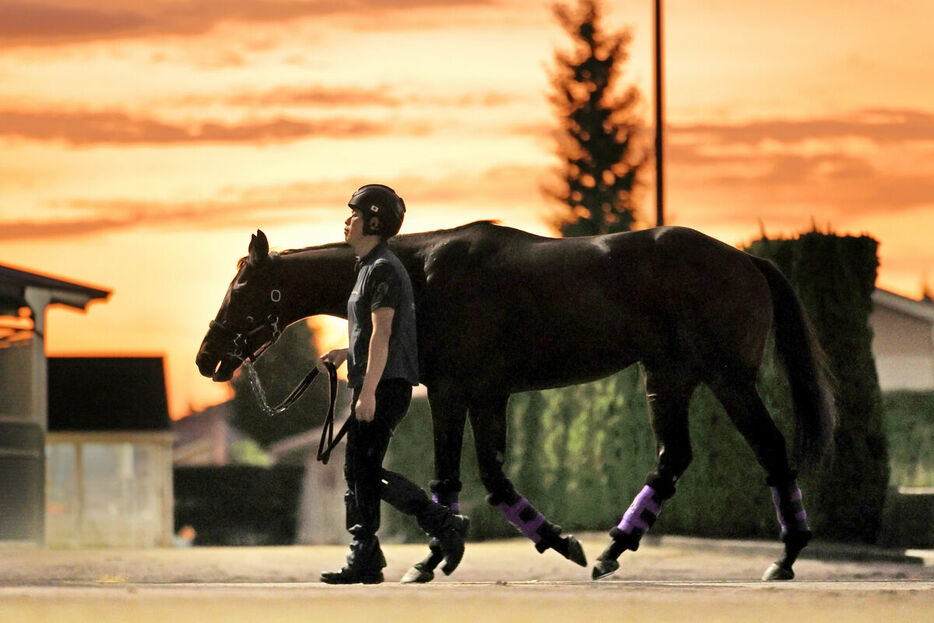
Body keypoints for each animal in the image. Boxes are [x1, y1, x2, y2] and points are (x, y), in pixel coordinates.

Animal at [196, 222, 832, 584]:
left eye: (241, 288)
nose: (205, 359)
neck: (422, 272)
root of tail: (746, 260)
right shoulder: (486, 395)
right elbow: (492, 480)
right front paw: (558, 541)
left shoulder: (453, 391)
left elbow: (449, 477)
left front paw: (433, 556)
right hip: (667, 376)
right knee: (673, 458)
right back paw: (612, 550)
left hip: (729, 379)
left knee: (771, 449)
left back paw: (787, 555)